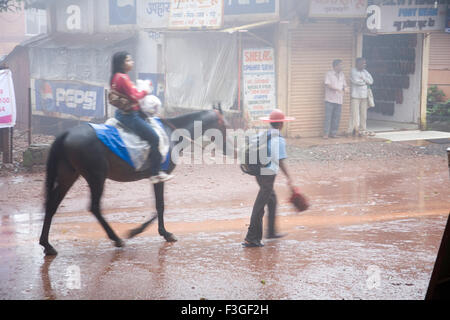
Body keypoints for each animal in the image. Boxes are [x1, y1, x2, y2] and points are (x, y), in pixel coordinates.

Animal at [38, 107, 232, 255]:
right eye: (224, 125)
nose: (230, 148)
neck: (171, 133)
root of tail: (66, 133)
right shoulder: (159, 176)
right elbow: (160, 205)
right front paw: (152, 232)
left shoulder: (154, 178)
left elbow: (158, 205)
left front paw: (153, 231)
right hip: (96, 176)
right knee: (94, 207)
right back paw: (116, 239)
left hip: (69, 175)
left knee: (52, 205)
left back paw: (47, 245)